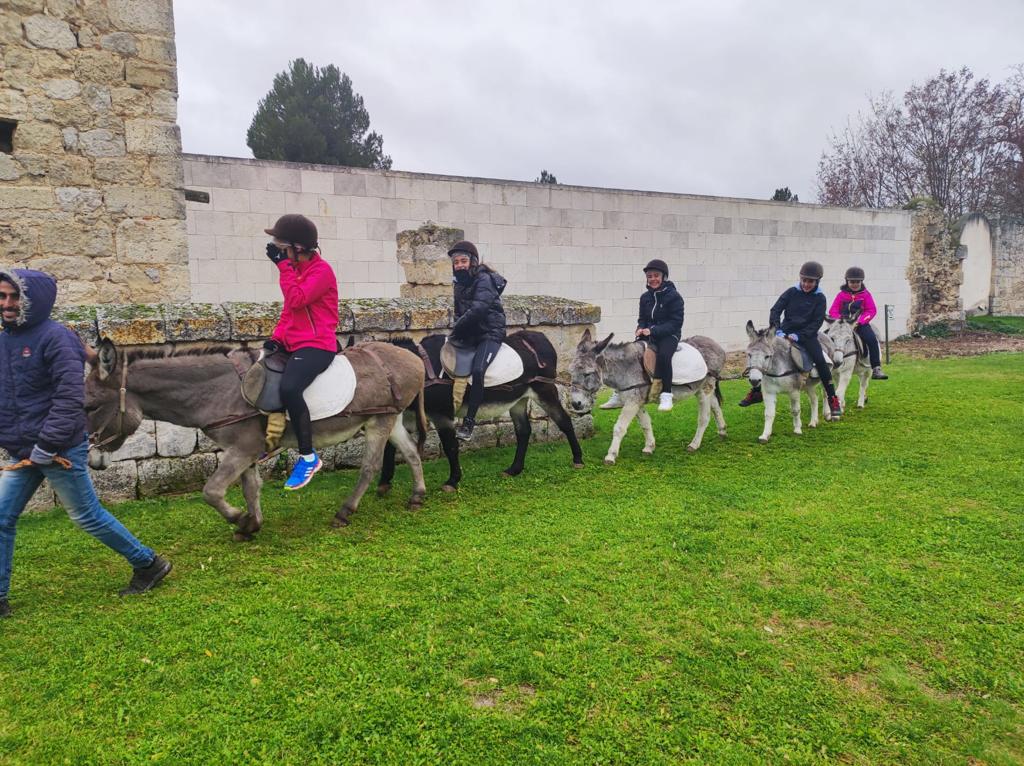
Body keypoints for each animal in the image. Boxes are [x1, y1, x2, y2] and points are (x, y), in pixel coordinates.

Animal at [84, 338, 428, 539]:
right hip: (391, 419)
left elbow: (211, 492)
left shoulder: (242, 449)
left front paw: (238, 518)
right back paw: (417, 496)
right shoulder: (245, 451)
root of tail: (410, 355)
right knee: (412, 454)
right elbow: (251, 489)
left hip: (378, 422)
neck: (221, 390)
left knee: (369, 468)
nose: (92, 460)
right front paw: (252, 523)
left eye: (88, 406)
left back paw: (345, 511)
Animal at [376, 330, 584, 493]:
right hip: (518, 400)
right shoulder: (409, 416)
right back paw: (514, 469)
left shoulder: (442, 414)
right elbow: (390, 446)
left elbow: (450, 446)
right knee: (524, 431)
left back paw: (578, 459)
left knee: (564, 421)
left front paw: (452, 481)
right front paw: (384, 482)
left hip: (544, 391)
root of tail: (539, 337)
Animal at [567, 329, 727, 464]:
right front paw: (649, 447)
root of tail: (715, 344)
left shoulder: (632, 402)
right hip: (705, 388)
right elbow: (645, 424)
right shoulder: (636, 402)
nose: (575, 404)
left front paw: (610, 456)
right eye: (570, 373)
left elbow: (619, 428)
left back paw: (694, 444)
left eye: (587, 373)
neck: (626, 368)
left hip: (704, 389)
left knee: (704, 418)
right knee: (716, 407)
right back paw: (722, 431)